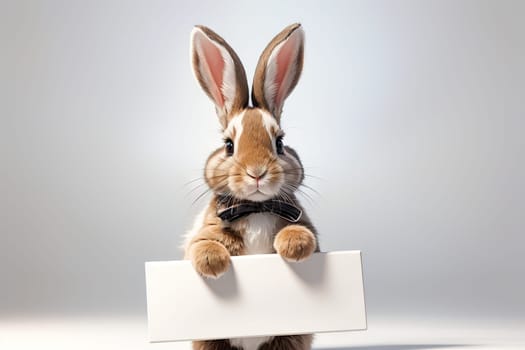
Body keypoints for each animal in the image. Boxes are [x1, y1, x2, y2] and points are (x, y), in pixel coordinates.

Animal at [184, 23, 320, 350]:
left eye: (279, 143)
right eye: (229, 145)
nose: (256, 173)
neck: (257, 209)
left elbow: (302, 231)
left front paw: (295, 246)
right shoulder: (205, 230)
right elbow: (202, 242)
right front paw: (212, 263)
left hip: (289, 339)